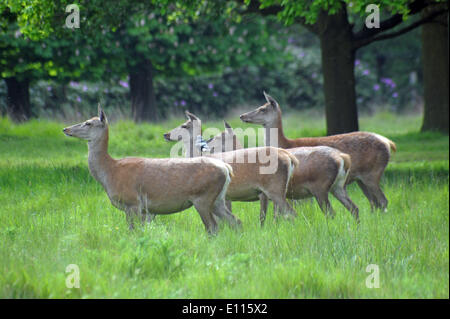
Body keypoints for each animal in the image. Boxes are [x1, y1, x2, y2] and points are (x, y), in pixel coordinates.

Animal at [62, 105, 243, 235]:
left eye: (88, 123)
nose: (65, 129)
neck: (110, 172)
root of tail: (226, 169)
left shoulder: (133, 202)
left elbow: (133, 232)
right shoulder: (139, 209)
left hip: (203, 197)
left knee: (213, 227)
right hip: (218, 199)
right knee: (235, 221)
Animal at [207, 121, 358, 224]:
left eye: (218, 136)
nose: (206, 144)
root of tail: (343, 158)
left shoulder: (260, 194)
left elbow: (263, 217)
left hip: (315, 188)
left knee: (326, 212)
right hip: (337, 186)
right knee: (353, 208)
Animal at [241, 92, 396, 212]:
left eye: (262, 109)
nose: (242, 116)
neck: (285, 143)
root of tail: (388, 143)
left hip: (373, 173)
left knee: (383, 201)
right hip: (361, 179)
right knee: (374, 203)